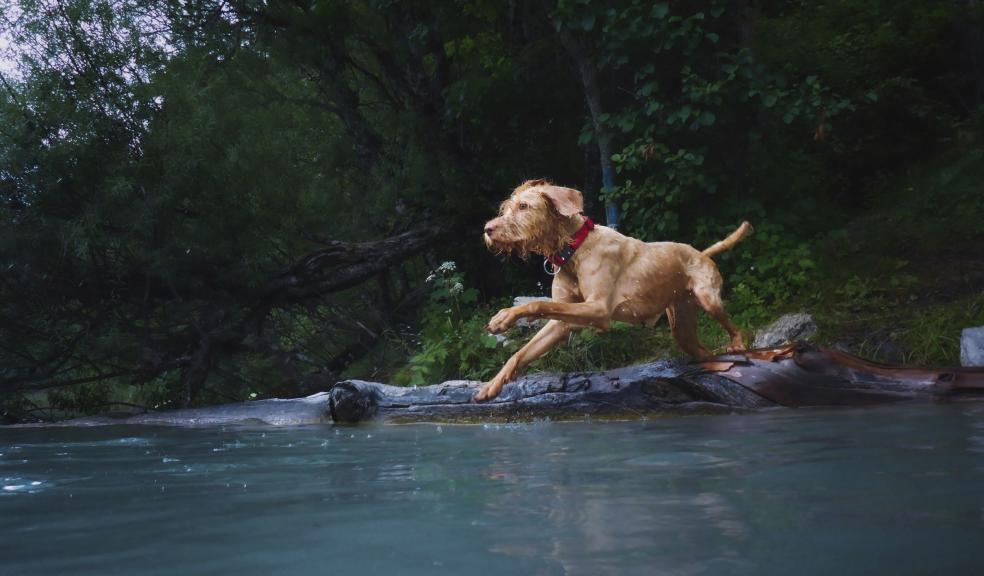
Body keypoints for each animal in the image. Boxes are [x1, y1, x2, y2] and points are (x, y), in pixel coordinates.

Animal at [476, 179, 752, 400]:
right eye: (505, 208)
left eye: (524, 207)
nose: (487, 229)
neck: (574, 250)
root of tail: (701, 253)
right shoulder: (561, 324)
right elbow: (520, 352)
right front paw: (492, 385)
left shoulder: (598, 309)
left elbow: (537, 303)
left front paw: (504, 317)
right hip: (682, 329)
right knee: (706, 352)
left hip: (708, 299)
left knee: (735, 328)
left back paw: (737, 345)